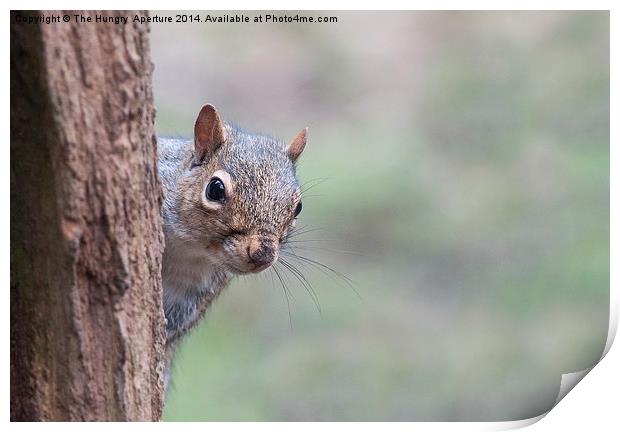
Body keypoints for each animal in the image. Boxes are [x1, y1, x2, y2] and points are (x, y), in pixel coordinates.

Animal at [157, 103, 308, 394]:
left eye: (298, 207)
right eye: (215, 189)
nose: (262, 254)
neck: (189, 247)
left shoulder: (192, 292)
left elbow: (173, 323)